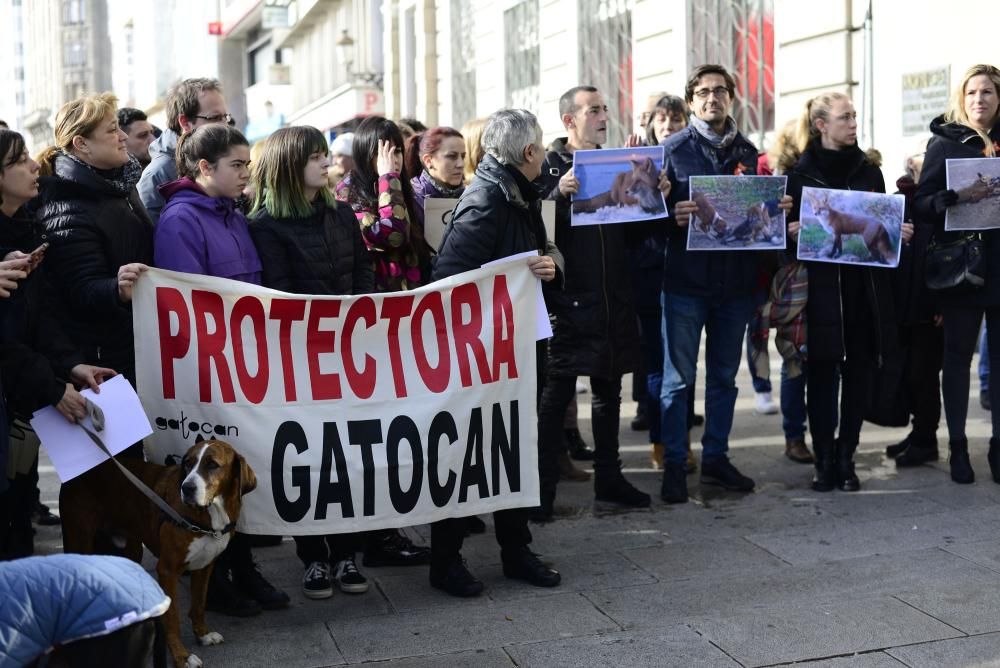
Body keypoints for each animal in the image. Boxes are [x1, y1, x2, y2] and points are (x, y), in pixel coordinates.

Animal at [60, 438, 256, 668]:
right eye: (188, 463)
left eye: (212, 465)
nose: (187, 488)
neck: (210, 513)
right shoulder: (168, 570)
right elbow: (172, 619)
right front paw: (181, 656)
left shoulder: (205, 566)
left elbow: (199, 604)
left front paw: (202, 635)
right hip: (80, 538)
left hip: (130, 549)